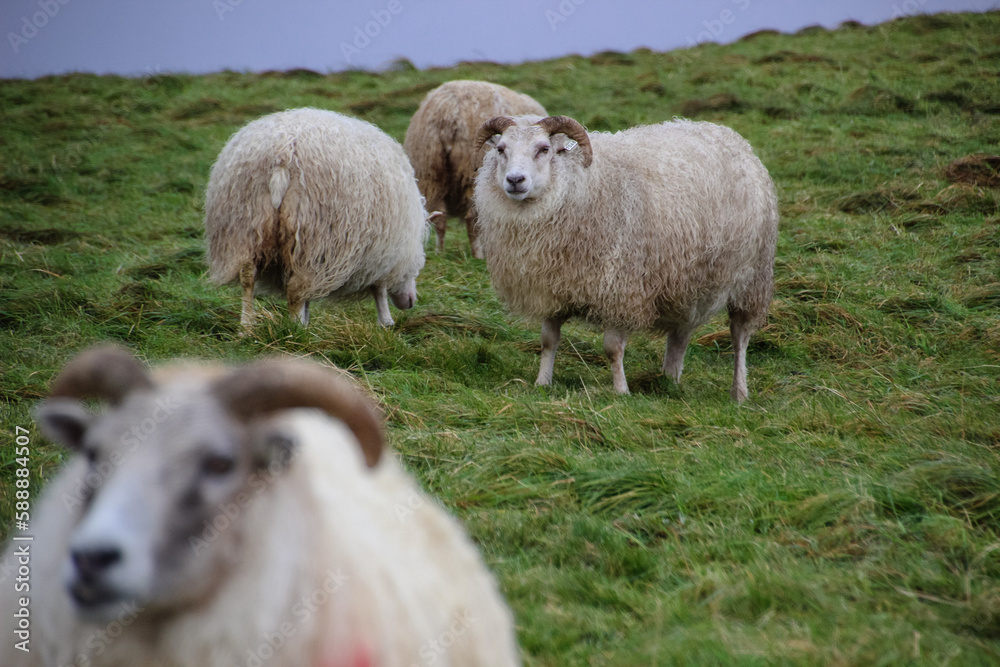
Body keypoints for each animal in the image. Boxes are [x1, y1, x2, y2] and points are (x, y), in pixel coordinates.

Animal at [207, 107, 430, 328]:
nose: (411, 301)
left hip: (244, 228)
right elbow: (380, 290)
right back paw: (296, 329)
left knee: (248, 277)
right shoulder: (383, 255)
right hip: (313, 238)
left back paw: (247, 327)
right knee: (296, 290)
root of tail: (282, 154)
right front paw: (386, 322)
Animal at [402, 77, 548, 256]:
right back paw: (477, 255)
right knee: (471, 219)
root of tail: (449, 110)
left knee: (440, 218)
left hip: (430, 172)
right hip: (471, 175)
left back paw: (440, 253)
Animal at [472, 115, 776, 402]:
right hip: (686, 283)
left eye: (544, 149)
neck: (577, 184)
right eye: (501, 149)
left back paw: (739, 392)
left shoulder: (620, 289)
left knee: (739, 338)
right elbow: (548, 341)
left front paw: (621, 391)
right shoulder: (552, 288)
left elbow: (612, 349)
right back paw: (669, 380)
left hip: (752, 280)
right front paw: (542, 383)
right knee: (680, 335)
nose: (515, 180)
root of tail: (731, 137)